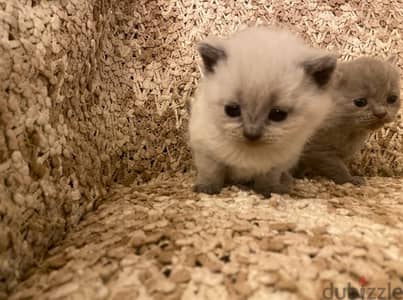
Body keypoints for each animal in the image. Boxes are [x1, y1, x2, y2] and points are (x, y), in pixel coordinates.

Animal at [189, 27, 338, 197]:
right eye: (232, 110)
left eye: (278, 115)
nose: (251, 134)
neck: (250, 153)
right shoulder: (207, 152)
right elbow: (211, 173)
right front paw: (206, 189)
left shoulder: (277, 163)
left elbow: (267, 179)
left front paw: (269, 192)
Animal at [296, 55, 402, 184]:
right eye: (360, 102)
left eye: (392, 99)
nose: (381, 113)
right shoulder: (317, 150)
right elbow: (336, 167)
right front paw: (350, 180)